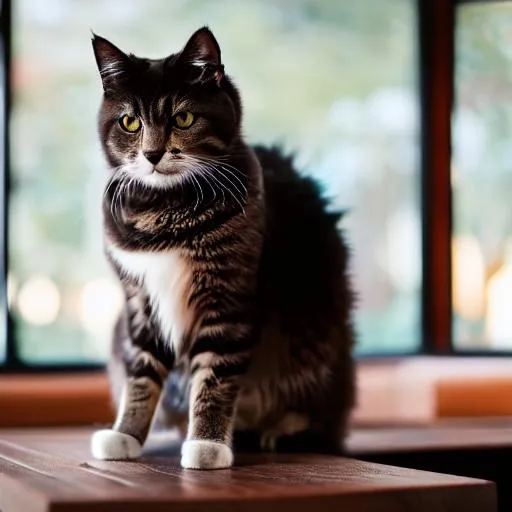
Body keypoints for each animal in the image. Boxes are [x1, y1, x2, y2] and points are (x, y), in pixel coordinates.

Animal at [91, 27, 356, 468]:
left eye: (182, 118)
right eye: (129, 122)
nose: (152, 153)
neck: (165, 209)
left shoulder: (228, 301)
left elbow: (214, 377)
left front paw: (208, 444)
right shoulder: (140, 304)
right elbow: (140, 374)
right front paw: (125, 435)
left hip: (318, 339)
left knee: (318, 413)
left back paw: (279, 432)